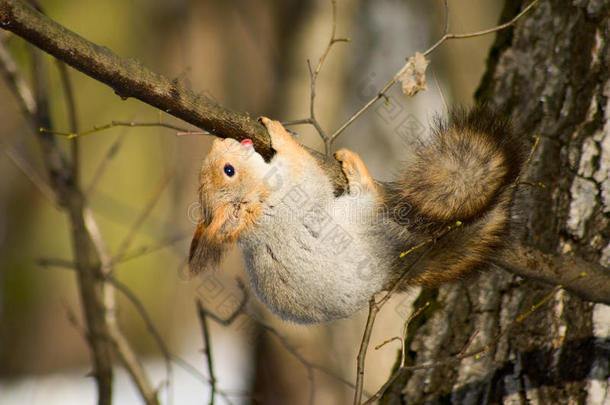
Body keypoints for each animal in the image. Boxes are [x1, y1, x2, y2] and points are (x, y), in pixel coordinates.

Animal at [189, 105, 524, 324]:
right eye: (229, 171)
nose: (221, 140)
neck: (260, 205)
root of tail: (387, 268)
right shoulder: (295, 191)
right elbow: (303, 165)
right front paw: (279, 132)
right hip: (359, 213)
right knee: (370, 196)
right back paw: (358, 170)